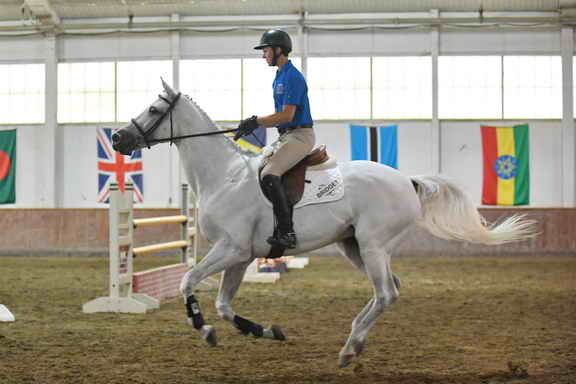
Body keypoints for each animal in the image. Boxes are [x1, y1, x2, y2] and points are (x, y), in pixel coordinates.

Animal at [111, 79, 536, 368]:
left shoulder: (230, 248)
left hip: (372, 245)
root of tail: (408, 181)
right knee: (390, 289)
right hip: (355, 247)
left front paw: (204, 329)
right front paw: (266, 331)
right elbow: (224, 304)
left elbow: (188, 282)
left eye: (154, 110)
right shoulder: (242, 256)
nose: (117, 138)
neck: (224, 176)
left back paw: (349, 348)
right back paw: (355, 341)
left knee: (387, 293)